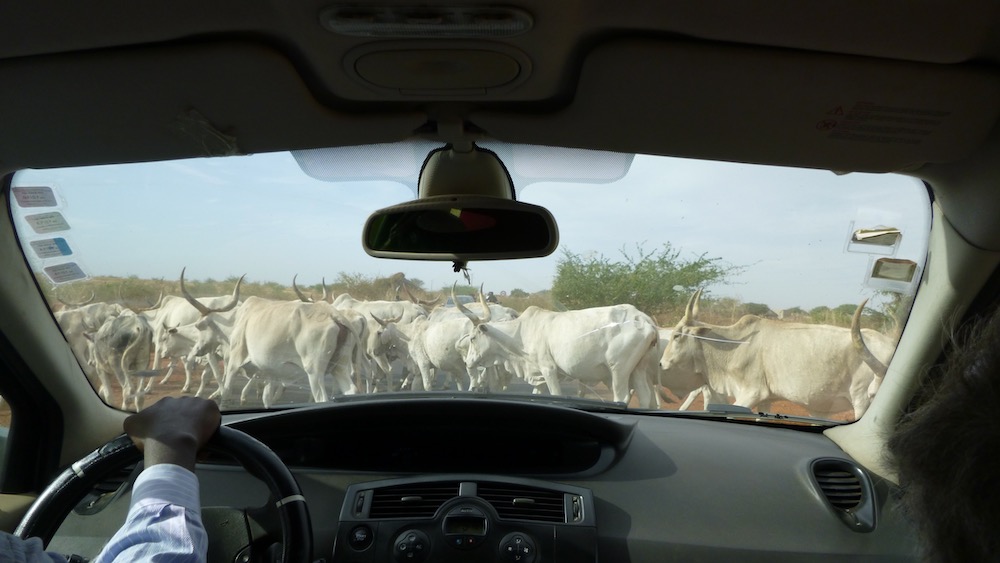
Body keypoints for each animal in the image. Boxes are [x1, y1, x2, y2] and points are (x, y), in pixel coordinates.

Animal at [456, 290, 660, 410]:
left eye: (473, 338)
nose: (468, 362)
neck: (522, 331)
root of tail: (643, 318)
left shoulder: (548, 369)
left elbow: (555, 394)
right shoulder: (537, 374)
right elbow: (535, 395)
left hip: (618, 369)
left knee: (622, 396)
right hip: (638, 369)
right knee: (646, 396)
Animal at [660, 290, 896, 418]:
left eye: (677, 336)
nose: (661, 363)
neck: (734, 345)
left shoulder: (751, 393)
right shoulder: (766, 397)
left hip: (862, 399)